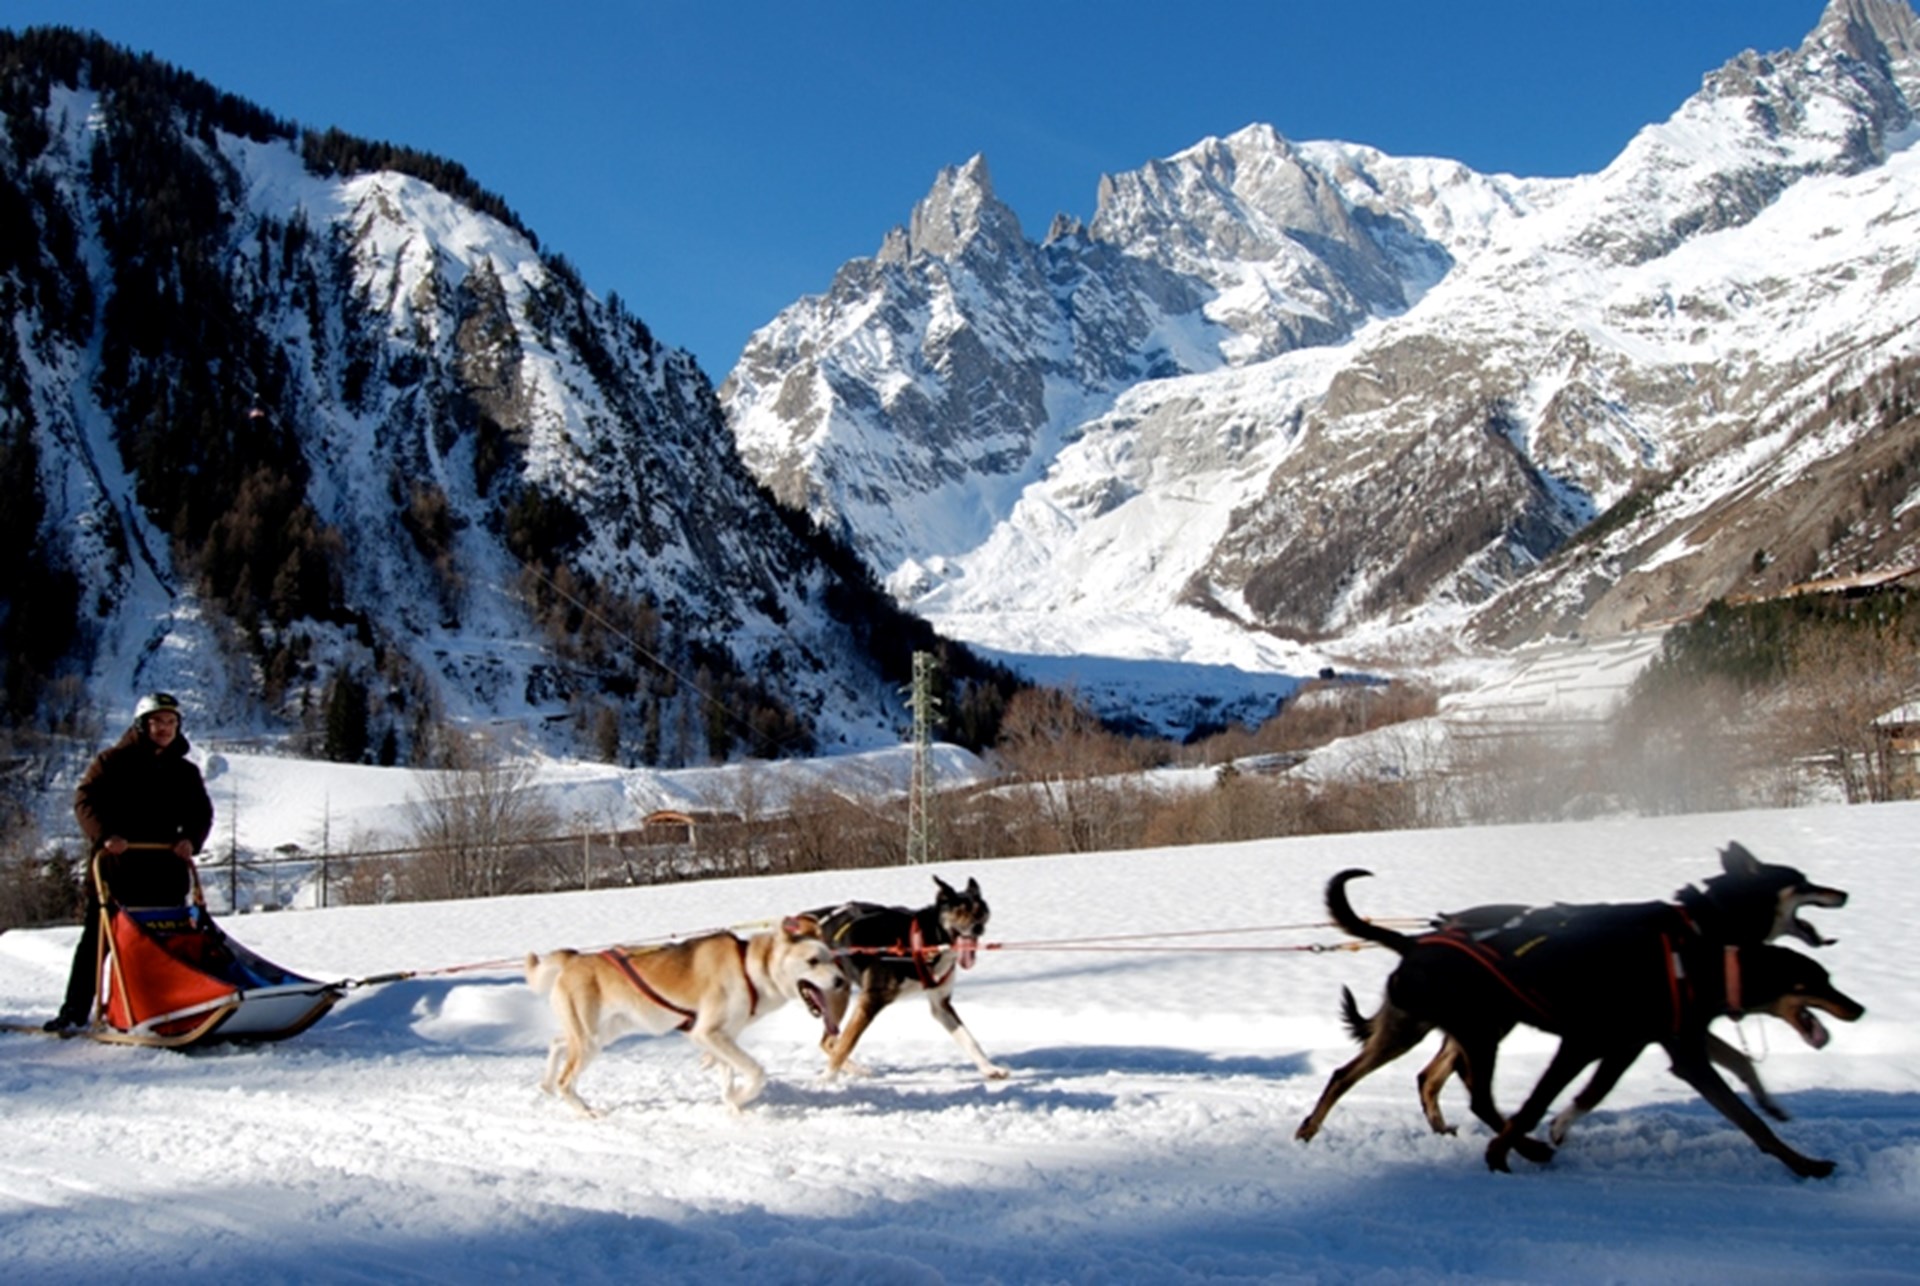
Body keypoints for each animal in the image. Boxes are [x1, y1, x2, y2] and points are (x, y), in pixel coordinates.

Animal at [525, 913, 847, 1117]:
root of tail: (573, 958)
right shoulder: (708, 1033)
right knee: (567, 1080)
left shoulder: (723, 1037)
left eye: (832, 959)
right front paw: (741, 1097)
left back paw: (546, 1084)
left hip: (601, 1034)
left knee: (557, 1043)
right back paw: (586, 1110)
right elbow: (756, 1072)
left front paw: (732, 1105)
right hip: (591, 1040)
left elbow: (727, 1074)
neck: (747, 969)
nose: (842, 981)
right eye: (813, 961)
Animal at [806, 875, 1008, 1080]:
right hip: (838, 995)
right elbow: (847, 1042)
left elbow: (969, 1039)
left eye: (979, 911)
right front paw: (826, 1080)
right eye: (959, 911)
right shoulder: (870, 1000)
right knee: (832, 1042)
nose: (978, 927)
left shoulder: (941, 1004)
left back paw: (858, 1070)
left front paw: (989, 1068)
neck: (920, 941)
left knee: (828, 1041)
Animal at [1299, 865, 1863, 1177]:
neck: (1698, 942)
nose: (1857, 1008)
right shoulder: (1595, 1044)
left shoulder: (1641, 1044)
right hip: (1469, 1032)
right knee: (1466, 1094)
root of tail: (1415, 941)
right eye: (1815, 981)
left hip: (1453, 1028)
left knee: (1396, 1077)